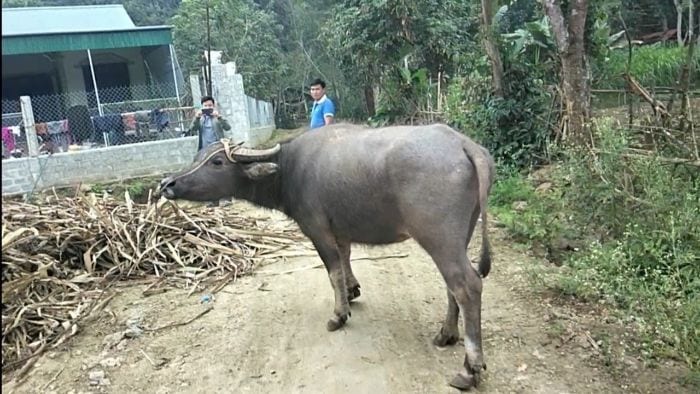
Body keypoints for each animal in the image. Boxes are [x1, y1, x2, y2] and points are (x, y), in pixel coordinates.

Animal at [159, 124, 498, 390]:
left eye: (217, 161)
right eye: (198, 157)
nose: (167, 184)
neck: (289, 169)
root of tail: (465, 145)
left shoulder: (317, 230)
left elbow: (333, 269)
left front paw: (339, 314)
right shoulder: (341, 230)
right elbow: (345, 259)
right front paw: (352, 290)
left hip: (439, 237)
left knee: (468, 286)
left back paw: (469, 369)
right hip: (459, 237)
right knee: (453, 284)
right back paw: (446, 334)